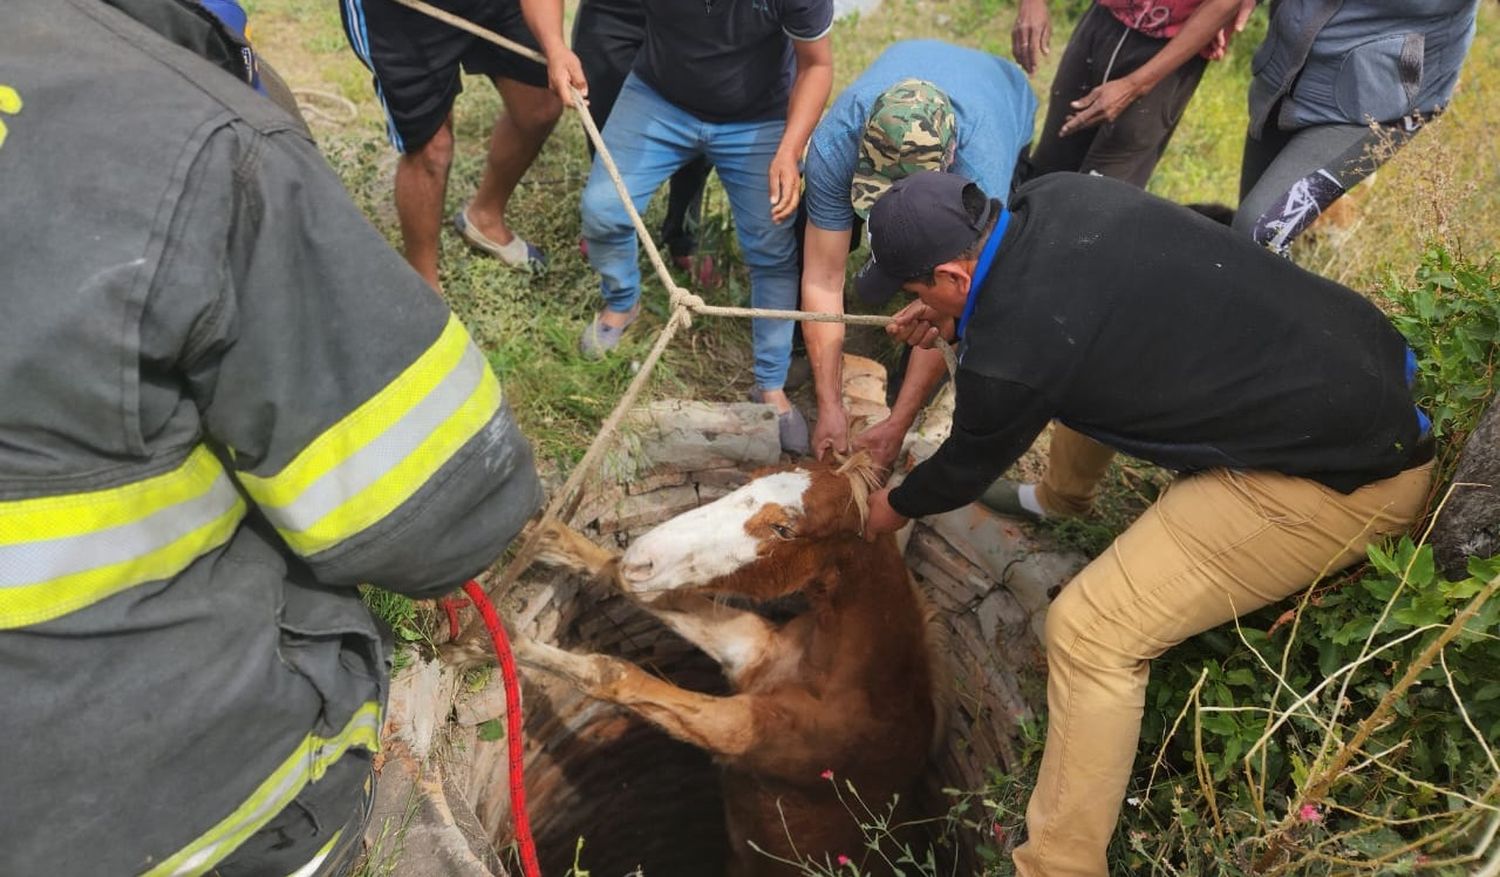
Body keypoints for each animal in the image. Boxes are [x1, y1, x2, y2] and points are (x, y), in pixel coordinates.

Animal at [510, 455, 942, 869]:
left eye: (784, 530)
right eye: (753, 476)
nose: (642, 561)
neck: (843, 677)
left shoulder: (743, 731)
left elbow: (618, 674)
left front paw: (507, 644)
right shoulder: (747, 647)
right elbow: (626, 578)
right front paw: (543, 533)